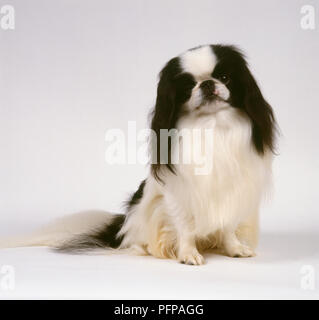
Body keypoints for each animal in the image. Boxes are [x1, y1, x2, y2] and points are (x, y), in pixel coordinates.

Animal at [0, 45, 278, 264]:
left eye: (224, 76)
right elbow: (185, 227)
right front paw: (188, 254)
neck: (212, 125)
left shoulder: (232, 191)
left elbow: (227, 226)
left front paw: (234, 249)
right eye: (188, 86)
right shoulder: (177, 195)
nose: (208, 83)